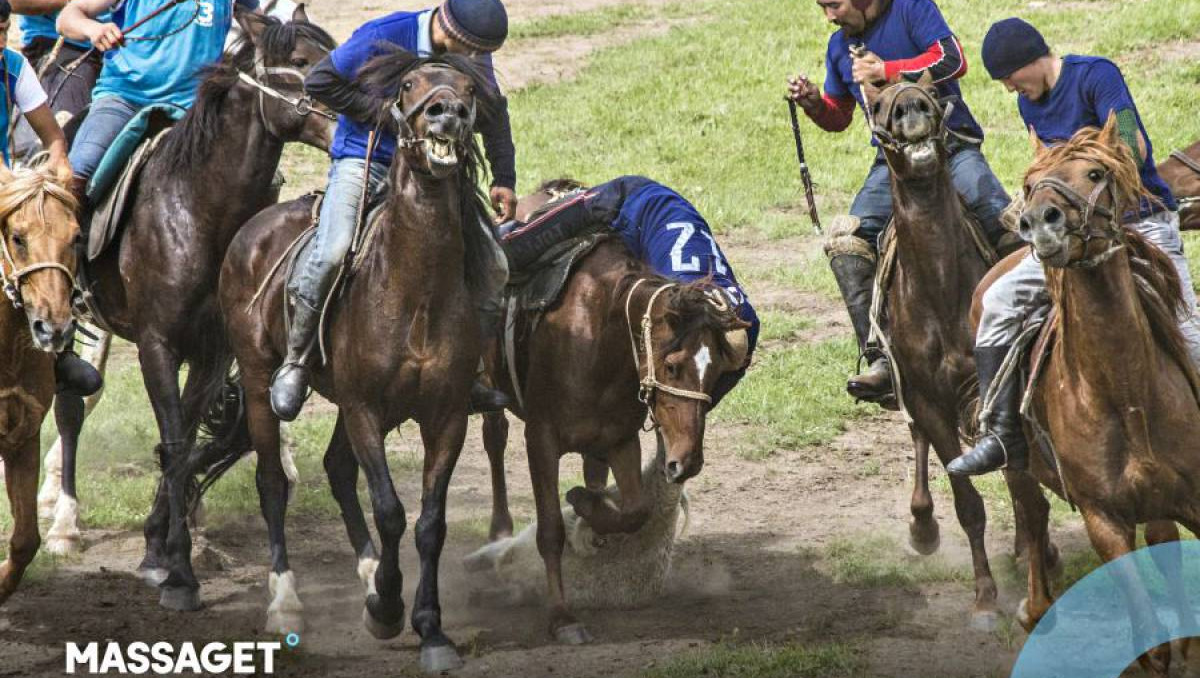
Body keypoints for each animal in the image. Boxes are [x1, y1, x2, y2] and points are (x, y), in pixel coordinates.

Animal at [36, 6, 338, 607]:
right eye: (300, 61)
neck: (197, 209)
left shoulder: (213, 353)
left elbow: (190, 437)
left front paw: (160, 544)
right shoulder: (158, 345)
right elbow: (175, 443)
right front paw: (177, 570)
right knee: (71, 407)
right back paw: (64, 524)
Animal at [213, 52, 494, 672]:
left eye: (470, 88)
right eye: (409, 85)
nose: (448, 113)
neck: (416, 292)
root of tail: (251, 231)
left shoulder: (446, 417)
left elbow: (430, 522)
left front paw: (430, 628)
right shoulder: (365, 408)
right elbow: (390, 509)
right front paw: (387, 609)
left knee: (338, 469)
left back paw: (367, 574)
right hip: (259, 378)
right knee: (273, 481)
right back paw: (286, 603)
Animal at [472, 178, 744, 638]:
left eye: (716, 374)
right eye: (672, 366)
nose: (686, 463)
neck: (598, 330)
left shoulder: (620, 439)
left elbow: (635, 511)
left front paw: (587, 508)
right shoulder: (540, 440)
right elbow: (550, 531)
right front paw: (562, 617)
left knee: (592, 470)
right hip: (491, 385)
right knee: (494, 438)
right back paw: (499, 527)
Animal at [979, 115, 1200, 672]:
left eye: (1095, 172)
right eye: (1030, 183)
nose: (1040, 222)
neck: (1125, 394)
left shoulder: (1196, 497)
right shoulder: (1105, 521)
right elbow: (1149, 642)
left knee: (1163, 541)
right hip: (1017, 468)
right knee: (1032, 513)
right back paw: (1034, 608)